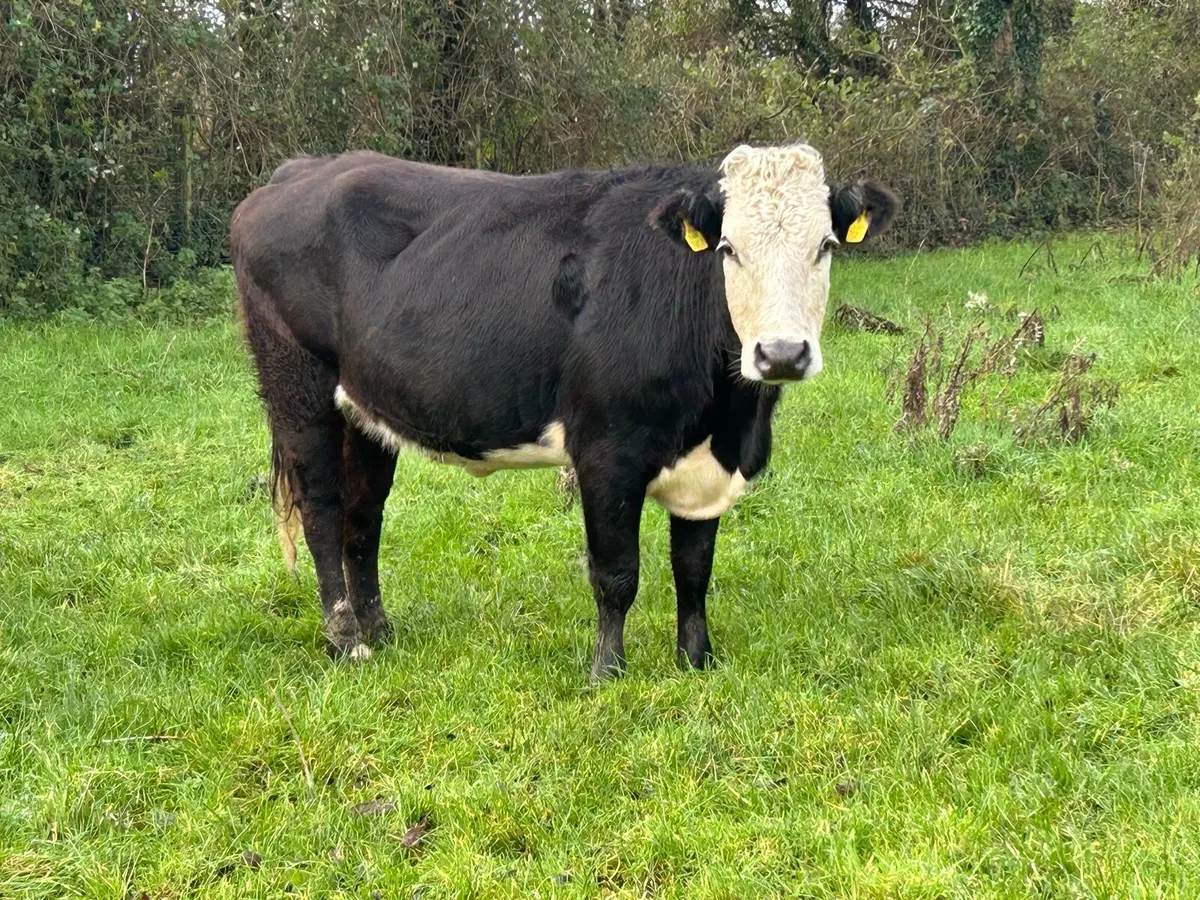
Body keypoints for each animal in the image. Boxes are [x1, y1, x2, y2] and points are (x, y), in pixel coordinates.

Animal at [230, 143, 898, 680]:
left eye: (825, 246)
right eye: (729, 249)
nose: (781, 353)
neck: (728, 418)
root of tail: (301, 171)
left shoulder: (708, 463)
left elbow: (694, 567)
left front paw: (696, 661)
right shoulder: (606, 450)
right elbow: (616, 573)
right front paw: (608, 672)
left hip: (367, 408)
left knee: (363, 518)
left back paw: (379, 630)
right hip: (297, 383)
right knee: (322, 510)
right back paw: (346, 642)